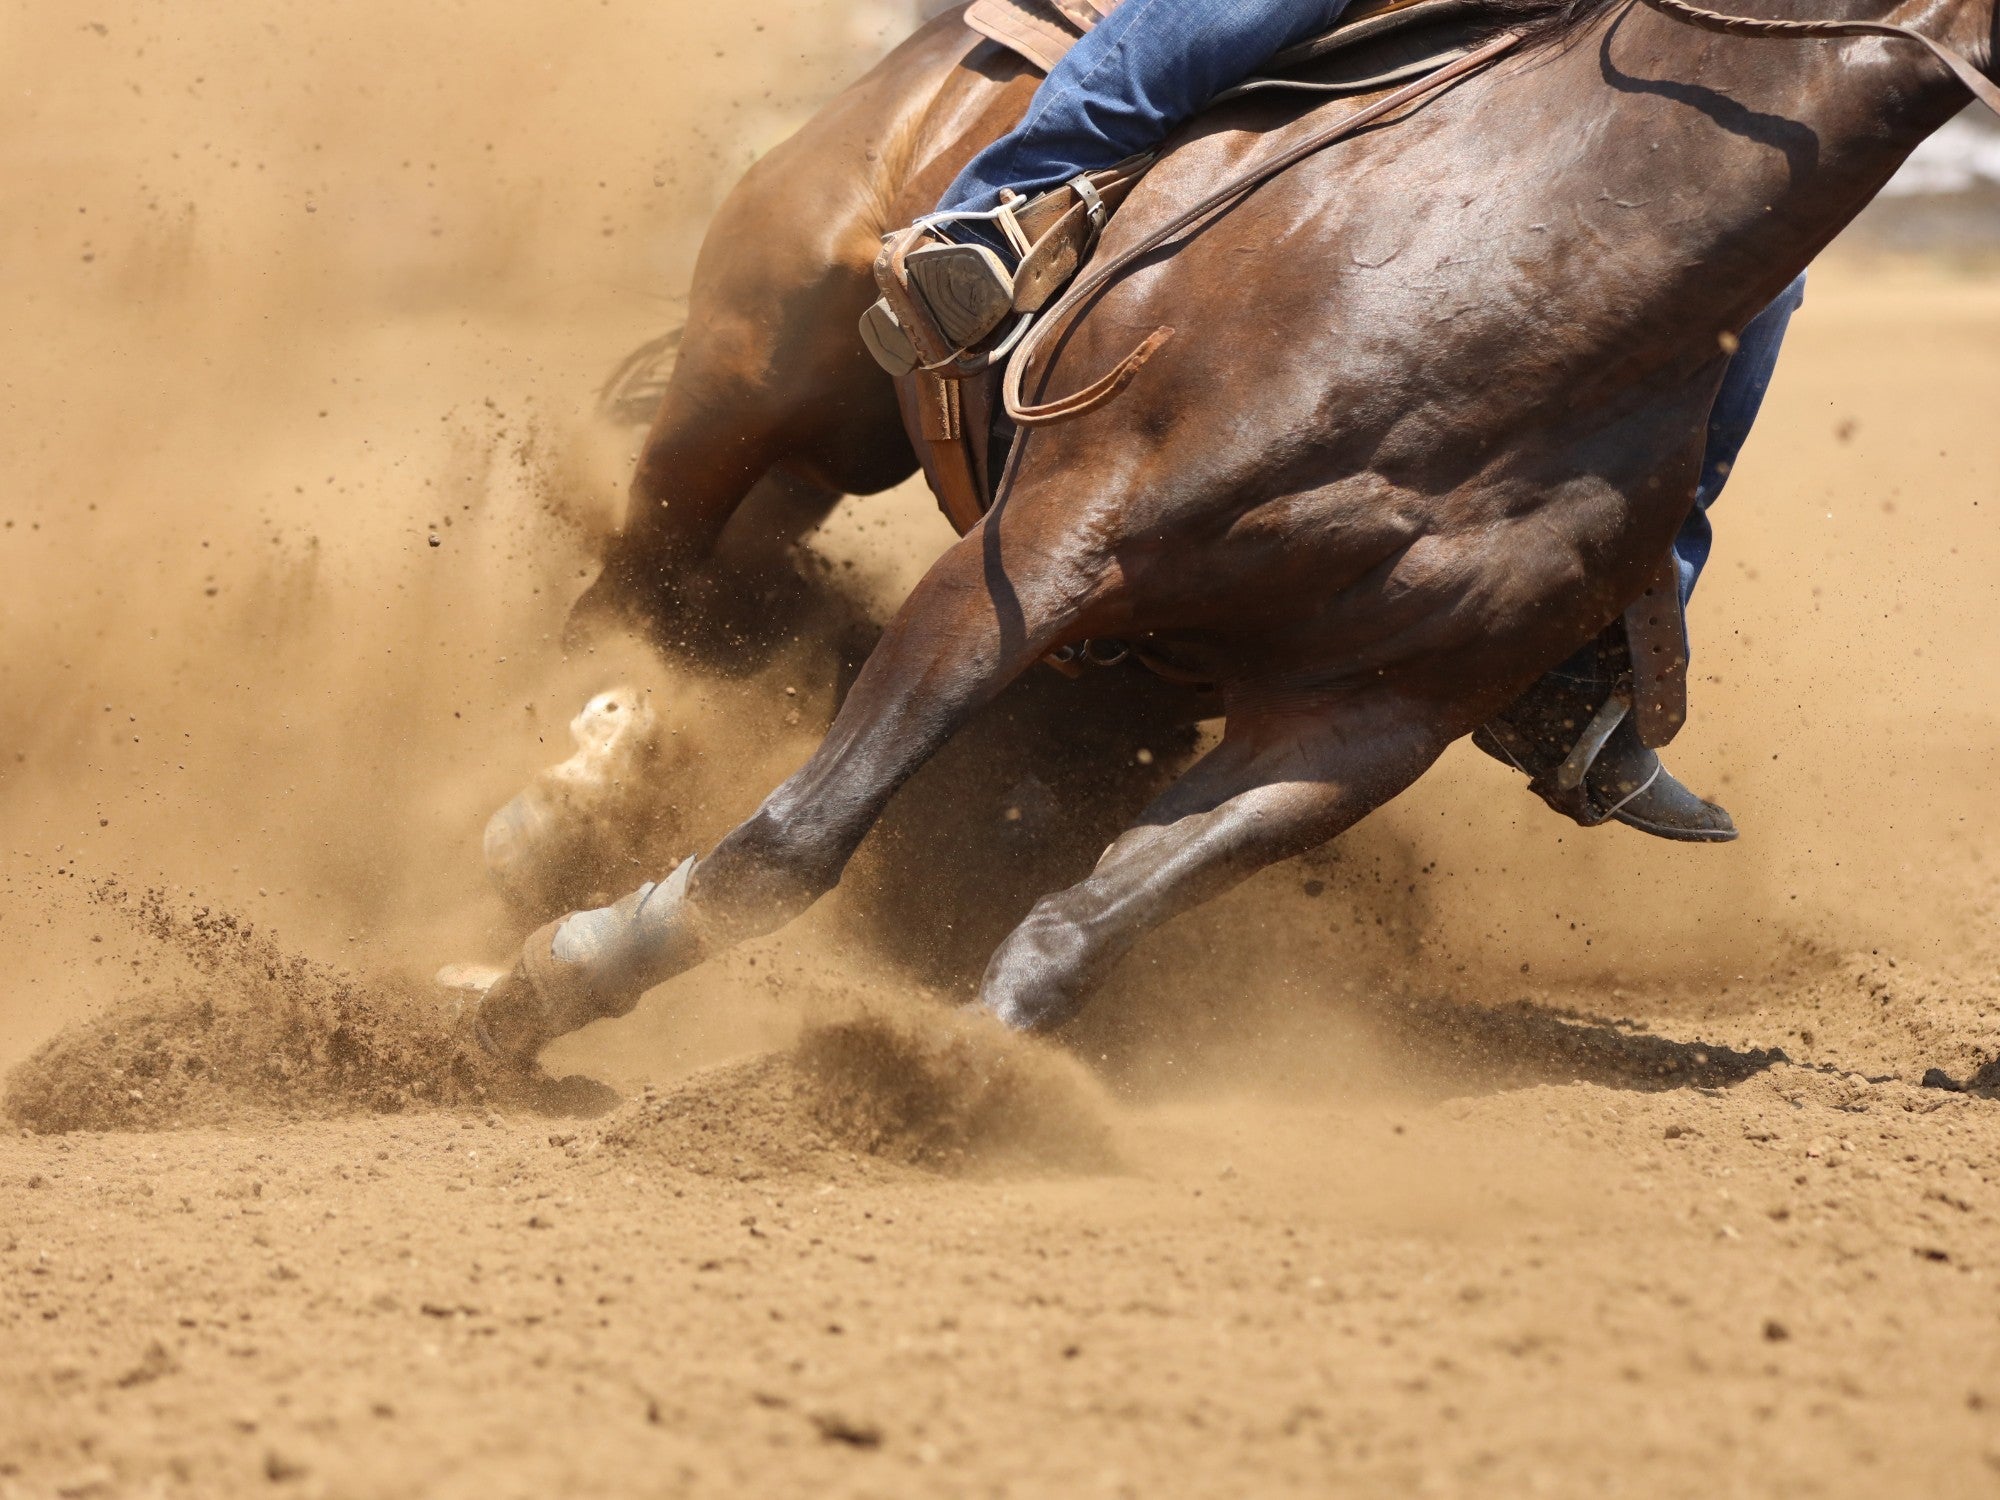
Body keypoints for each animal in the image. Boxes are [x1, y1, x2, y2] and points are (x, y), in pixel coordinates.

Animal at [470, 0, 1998, 1058]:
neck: (1537, 260)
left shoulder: (1364, 718)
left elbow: (1086, 925)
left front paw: (955, 1075)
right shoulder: (1042, 554)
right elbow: (795, 843)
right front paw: (554, 981)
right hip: (751, 391)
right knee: (643, 593)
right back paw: (556, 797)